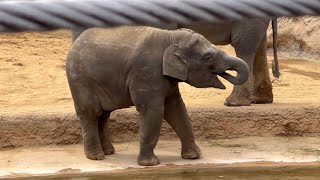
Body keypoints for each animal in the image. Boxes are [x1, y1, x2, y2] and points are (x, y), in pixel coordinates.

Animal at [66, 25, 249, 166]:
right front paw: (150, 164)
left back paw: (109, 152)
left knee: (104, 114)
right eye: (207, 57)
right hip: (80, 80)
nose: (226, 73)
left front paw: (194, 156)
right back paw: (97, 157)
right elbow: (154, 110)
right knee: (92, 112)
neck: (171, 37)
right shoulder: (147, 71)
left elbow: (177, 109)